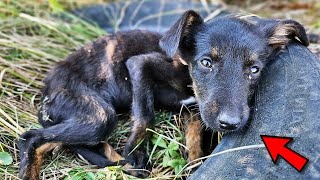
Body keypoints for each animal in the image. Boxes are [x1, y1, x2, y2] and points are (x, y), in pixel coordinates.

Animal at [18, 10, 308, 180]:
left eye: (254, 69)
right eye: (206, 63)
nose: (230, 123)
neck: (185, 70)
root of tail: (48, 84)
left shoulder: (195, 110)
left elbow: (194, 139)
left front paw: (194, 165)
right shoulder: (138, 65)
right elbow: (145, 115)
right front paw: (135, 152)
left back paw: (113, 159)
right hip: (97, 114)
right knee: (32, 137)